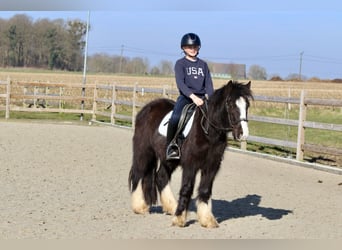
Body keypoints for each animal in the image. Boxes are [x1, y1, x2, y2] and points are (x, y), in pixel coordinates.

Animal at [127, 80, 251, 229]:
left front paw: (207, 220)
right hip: (144, 151)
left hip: (169, 159)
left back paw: (172, 207)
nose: (243, 134)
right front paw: (179, 218)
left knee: (161, 177)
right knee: (137, 174)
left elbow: (205, 190)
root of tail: (147, 108)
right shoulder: (190, 165)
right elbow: (186, 189)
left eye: (247, 105)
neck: (208, 131)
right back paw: (140, 207)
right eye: (231, 104)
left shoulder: (211, 166)